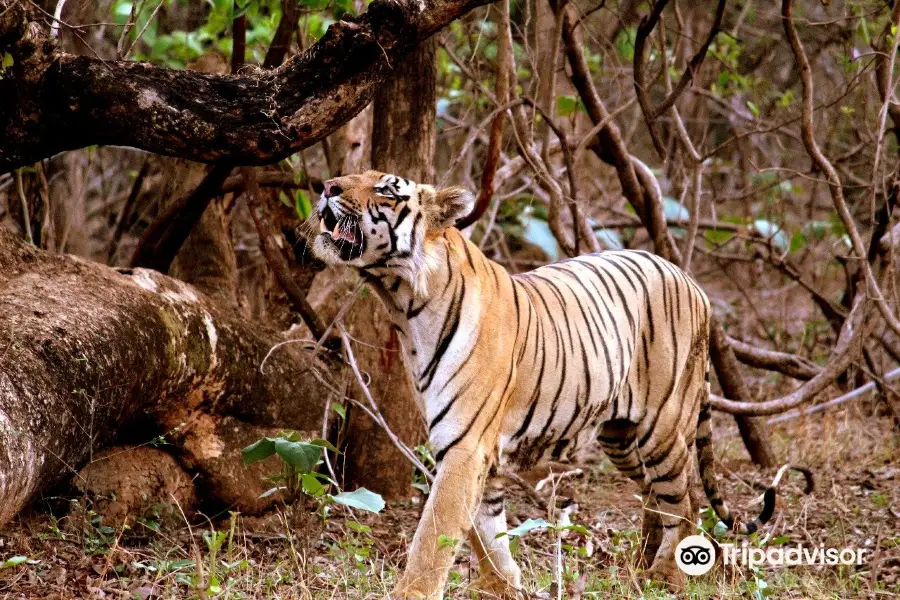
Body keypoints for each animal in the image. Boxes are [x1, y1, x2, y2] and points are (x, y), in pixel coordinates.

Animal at [308, 171, 808, 596]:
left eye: (386, 190)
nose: (327, 186)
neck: (404, 304)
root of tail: (691, 279)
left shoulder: (465, 445)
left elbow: (435, 536)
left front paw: (414, 592)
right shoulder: (472, 450)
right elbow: (486, 530)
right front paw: (502, 587)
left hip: (663, 426)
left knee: (684, 501)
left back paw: (665, 577)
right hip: (621, 436)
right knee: (656, 495)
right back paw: (642, 565)